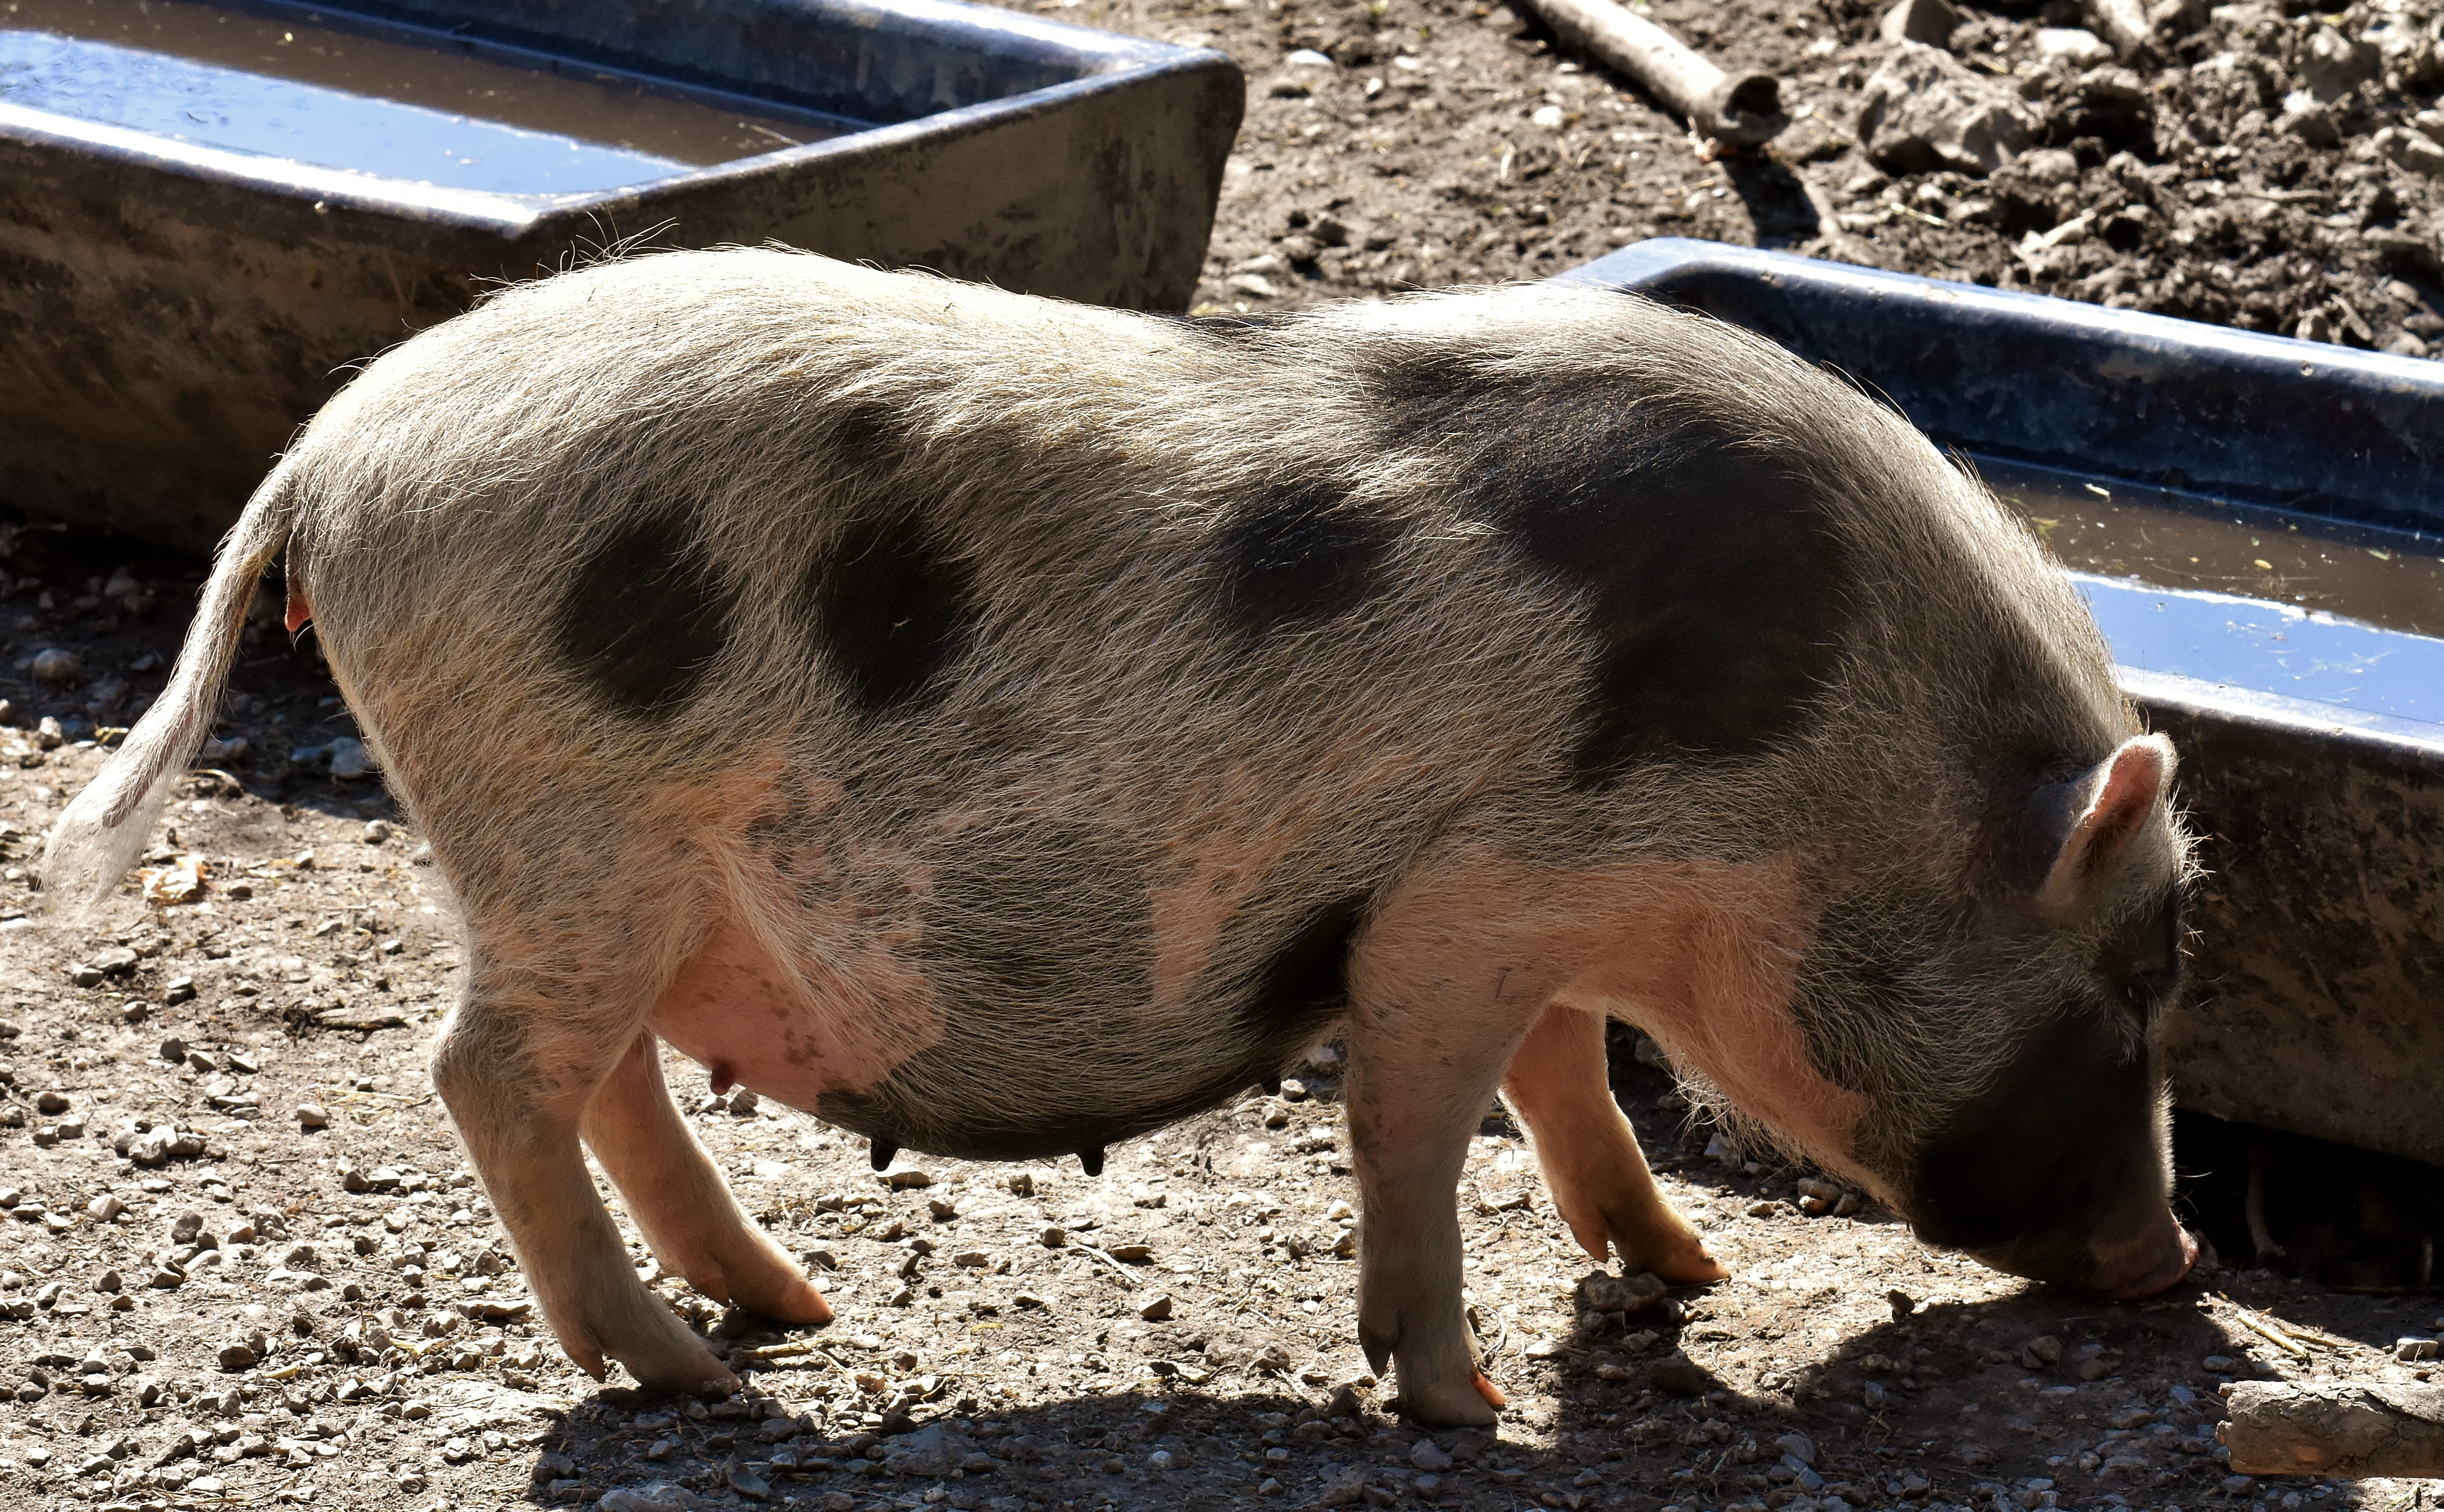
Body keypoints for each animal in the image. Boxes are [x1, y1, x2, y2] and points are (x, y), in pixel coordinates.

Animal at [46, 248, 2196, 1425]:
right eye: (2132, 991)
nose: (2173, 1258)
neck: (1830, 768)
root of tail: (327, 461)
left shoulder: (1541, 904)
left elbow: (1566, 1078)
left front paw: (1686, 1274)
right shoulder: (1462, 894)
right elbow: (1428, 1104)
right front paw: (1462, 1399)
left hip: (618, 873)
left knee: (610, 1079)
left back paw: (787, 1309)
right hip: (563, 828)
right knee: (484, 1071)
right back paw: (691, 1376)